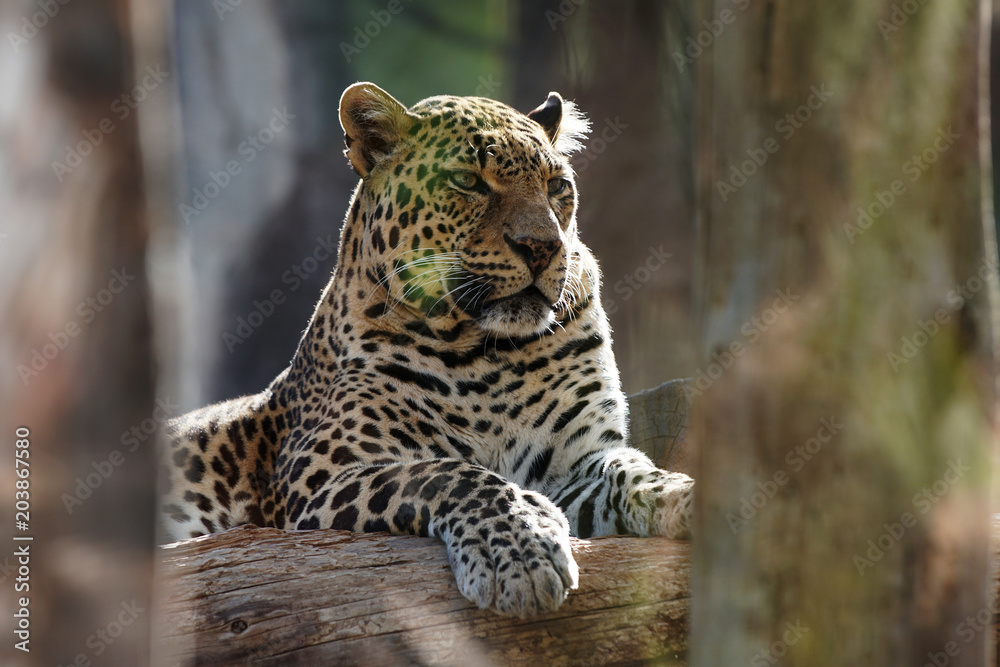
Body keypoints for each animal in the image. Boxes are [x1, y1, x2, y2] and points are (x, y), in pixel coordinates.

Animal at [159, 82, 694, 618]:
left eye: (557, 186)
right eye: (467, 181)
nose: (542, 247)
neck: (489, 352)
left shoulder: (575, 461)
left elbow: (631, 471)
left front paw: (690, 495)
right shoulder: (313, 474)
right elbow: (445, 473)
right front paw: (519, 547)